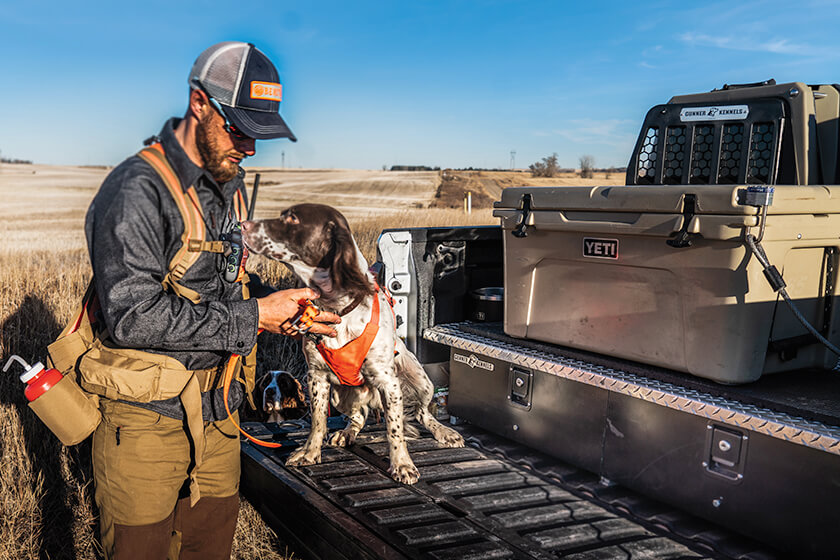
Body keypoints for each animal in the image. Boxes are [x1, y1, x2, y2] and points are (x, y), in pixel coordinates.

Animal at [243, 203, 462, 484]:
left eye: (292, 218)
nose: (243, 225)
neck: (337, 308)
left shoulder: (388, 381)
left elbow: (394, 429)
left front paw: (402, 464)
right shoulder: (316, 377)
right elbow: (317, 423)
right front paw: (310, 453)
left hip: (421, 381)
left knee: (423, 413)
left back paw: (444, 432)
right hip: (341, 395)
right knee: (359, 416)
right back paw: (346, 433)